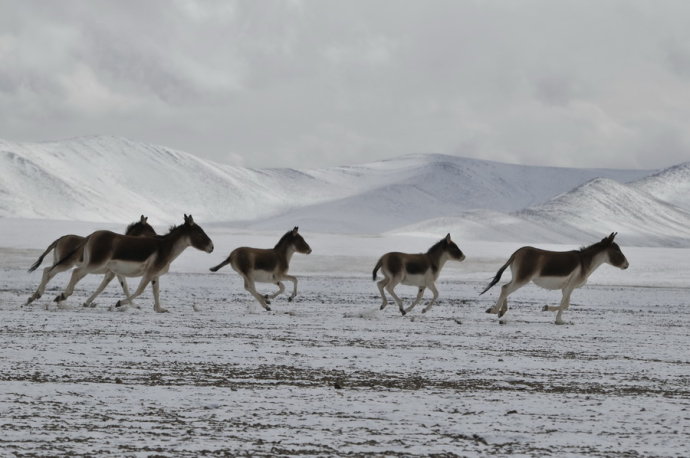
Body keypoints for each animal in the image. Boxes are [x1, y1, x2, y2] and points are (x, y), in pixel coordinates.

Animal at [25, 216, 155, 308]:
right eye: (150, 229)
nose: (156, 236)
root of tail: (61, 238)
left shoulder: (115, 273)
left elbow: (122, 288)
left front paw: (132, 305)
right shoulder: (112, 273)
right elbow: (113, 287)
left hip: (59, 261)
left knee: (48, 272)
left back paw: (34, 297)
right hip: (68, 263)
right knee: (50, 272)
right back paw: (43, 296)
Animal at [53, 214, 211, 312]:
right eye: (199, 232)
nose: (212, 247)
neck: (165, 247)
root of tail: (91, 236)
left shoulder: (154, 275)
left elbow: (155, 292)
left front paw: (159, 309)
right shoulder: (148, 273)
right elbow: (139, 291)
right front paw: (120, 303)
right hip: (94, 264)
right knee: (74, 272)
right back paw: (62, 296)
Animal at [482, 233, 628, 326]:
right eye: (617, 251)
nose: (627, 265)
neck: (584, 262)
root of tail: (517, 252)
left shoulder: (566, 288)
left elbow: (566, 304)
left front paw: (547, 308)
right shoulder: (570, 286)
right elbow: (564, 304)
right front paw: (559, 321)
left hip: (518, 277)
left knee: (505, 287)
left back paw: (501, 312)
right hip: (522, 279)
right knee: (506, 288)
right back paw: (494, 310)